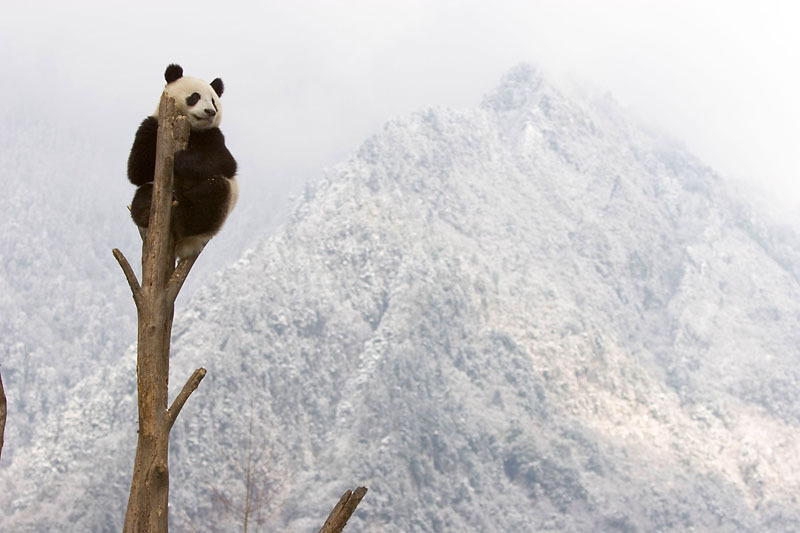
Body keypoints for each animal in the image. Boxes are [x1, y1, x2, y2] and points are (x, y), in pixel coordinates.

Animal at [128, 63, 238, 259]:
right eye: (195, 96)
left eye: (213, 101)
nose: (210, 112)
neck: (192, 129)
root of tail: (184, 247)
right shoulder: (151, 124)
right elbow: (137, 171)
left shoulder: (213, 136)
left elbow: (224, 163)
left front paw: (179, 160)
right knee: (143, 193)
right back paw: (147, 207)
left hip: (219, 212)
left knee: (212, 195)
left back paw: (183, 216)